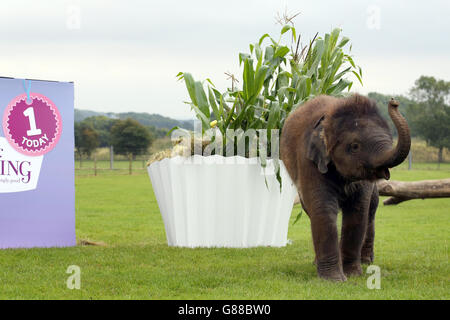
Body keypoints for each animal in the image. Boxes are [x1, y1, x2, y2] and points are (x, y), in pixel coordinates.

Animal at [282, 94, 412, 282]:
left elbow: (358, 212)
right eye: (355, 146)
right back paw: (317, 263)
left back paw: (365, 261)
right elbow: (323, 209)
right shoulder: (307, 160)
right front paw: (334, 280)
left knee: (371, 211)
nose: (394, 101)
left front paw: (352, 275)